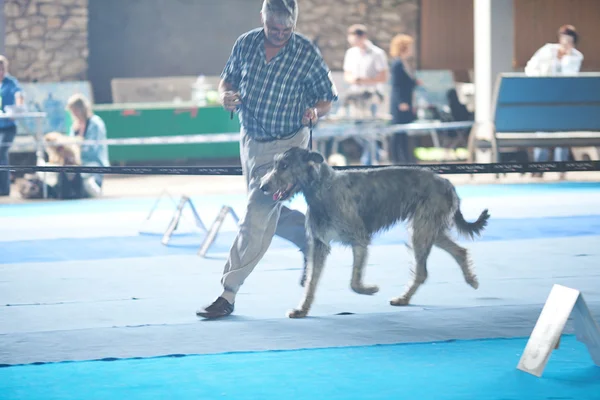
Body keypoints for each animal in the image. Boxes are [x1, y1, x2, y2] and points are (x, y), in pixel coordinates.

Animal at [260, 147, 490, 318]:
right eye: (275, 164)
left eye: (285, 165)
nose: (262, 186)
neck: (323, 188)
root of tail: (448, 183)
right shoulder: (319, 244)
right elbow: (311, 282)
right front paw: (302, 309)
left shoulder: (359, 239)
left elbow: (354, 282)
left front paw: (369, 289)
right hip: (428, 229)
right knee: (458, 251)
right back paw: (468, 279)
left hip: (422, 229)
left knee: (423, 270)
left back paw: (404, 297)